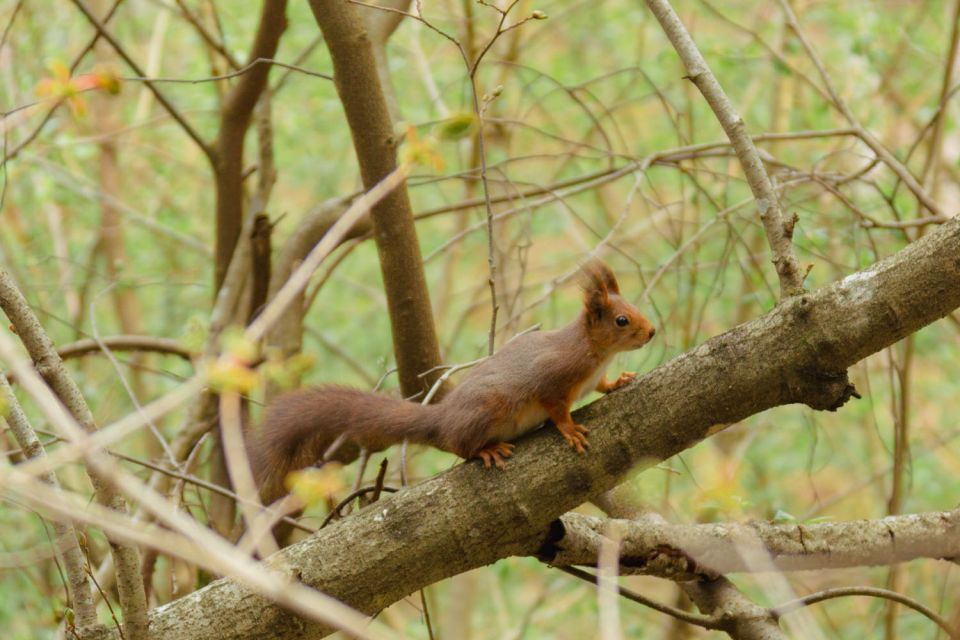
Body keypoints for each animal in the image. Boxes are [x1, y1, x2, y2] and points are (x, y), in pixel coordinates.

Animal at [248, 262, 652, 502]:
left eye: (634, 308)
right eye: (621, 320)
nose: (651, 332)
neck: (594, 352)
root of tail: (441, 420)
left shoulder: (591, 379)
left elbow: (601, 386)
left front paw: (619, 381)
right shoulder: (553, 379)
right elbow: (556, 408)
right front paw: (569, 431)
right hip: (488, 409)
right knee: (459, 446)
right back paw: (486, 450)